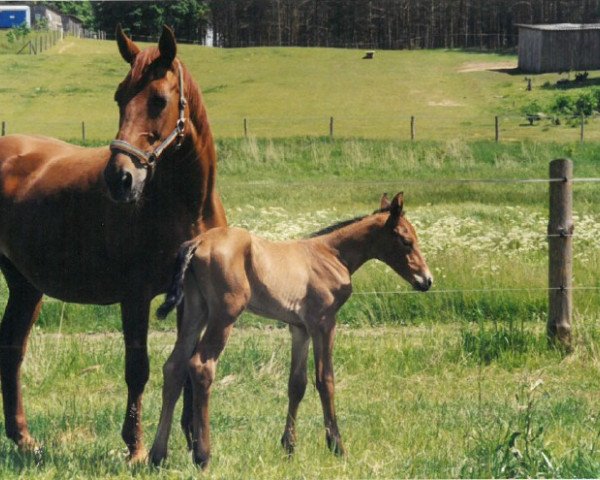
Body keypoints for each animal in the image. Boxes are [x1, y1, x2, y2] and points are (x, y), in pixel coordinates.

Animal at [150, 193, 432, 466]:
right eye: (406, 240)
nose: (427, 281)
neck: (331, 254)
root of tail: (196, 243)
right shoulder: (324, 323)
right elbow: (325, 380)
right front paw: (337, 447)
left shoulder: (299, 328)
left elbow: (297, 384)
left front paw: (289, 448)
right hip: (224, 315)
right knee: (201, 366)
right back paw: (203, 456)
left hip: (195, 312)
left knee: (174, 367)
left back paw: (157, 456)